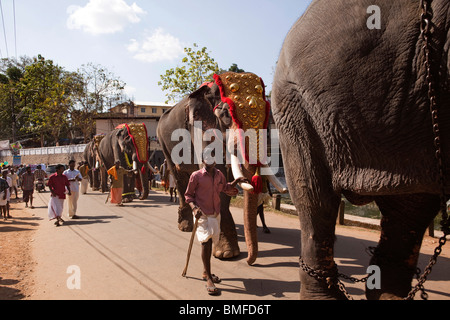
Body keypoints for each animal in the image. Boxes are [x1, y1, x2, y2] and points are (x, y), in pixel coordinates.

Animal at [156, 71, 286, 264]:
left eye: (267, 118)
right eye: (226, 114)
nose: (250, 261)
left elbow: (225, 178)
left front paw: (228, 251)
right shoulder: (198, 125)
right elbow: (215, 170)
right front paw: (226, 253)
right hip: (163, 144)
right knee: (179, 178)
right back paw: (186, 226)